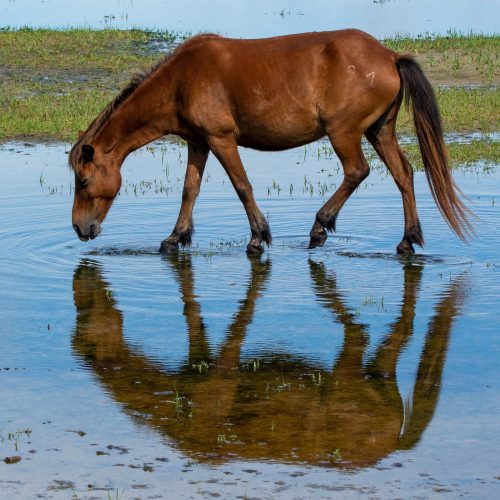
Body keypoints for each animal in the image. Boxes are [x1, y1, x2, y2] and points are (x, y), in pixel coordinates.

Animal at [70, 28, 472, 254]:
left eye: (84, 180)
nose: (79, 228)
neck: (181, 80)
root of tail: (388, 56)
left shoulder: (221, 139)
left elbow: (242, 186)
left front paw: (258, 237)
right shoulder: (199, 143)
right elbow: (189, 190)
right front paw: (174, 239)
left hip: (344, 133)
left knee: (357, 171)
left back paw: (320, 227)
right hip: (379, 130)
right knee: (403, 174)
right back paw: (407, 240)